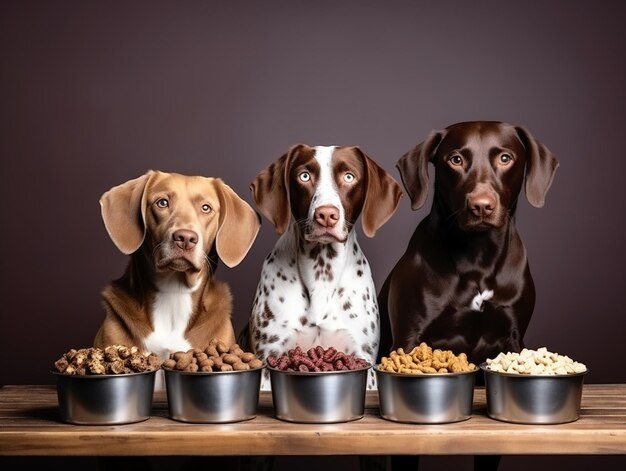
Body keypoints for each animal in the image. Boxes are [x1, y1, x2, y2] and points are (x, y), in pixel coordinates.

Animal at [236, 146, 402, 390]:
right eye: (304, 176)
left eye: (349, 177)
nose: (326, 215)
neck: (322, 271)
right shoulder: (269, 358)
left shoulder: (363, 359)